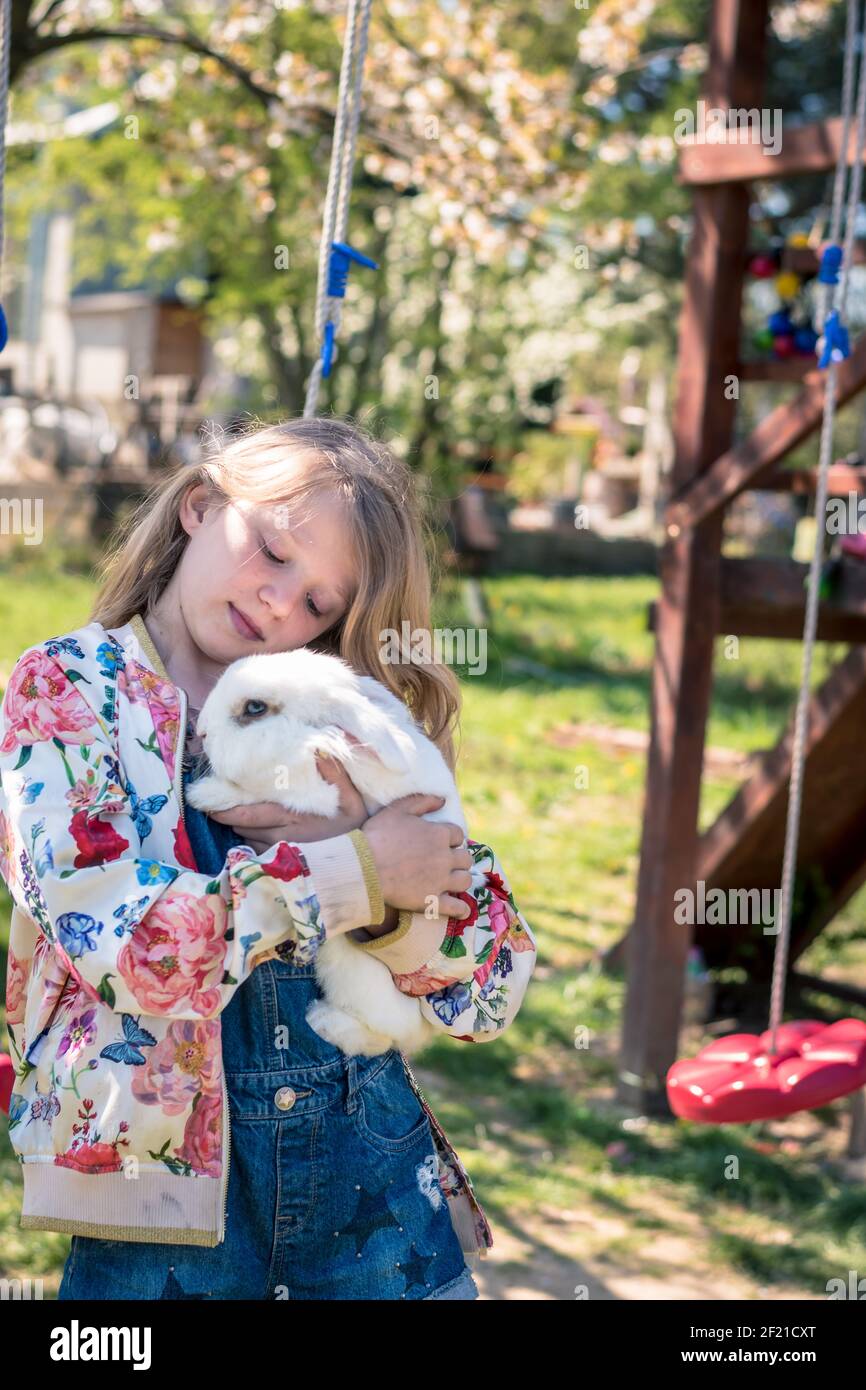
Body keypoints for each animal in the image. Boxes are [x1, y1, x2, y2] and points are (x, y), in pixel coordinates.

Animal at [183, 644, 467, 1056]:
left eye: (255, 708)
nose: (201, 731)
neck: (310, 741)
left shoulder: (316, 796)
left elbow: (264, 792)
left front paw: (204, 794)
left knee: (384, 1035)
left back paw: (325, 1021)